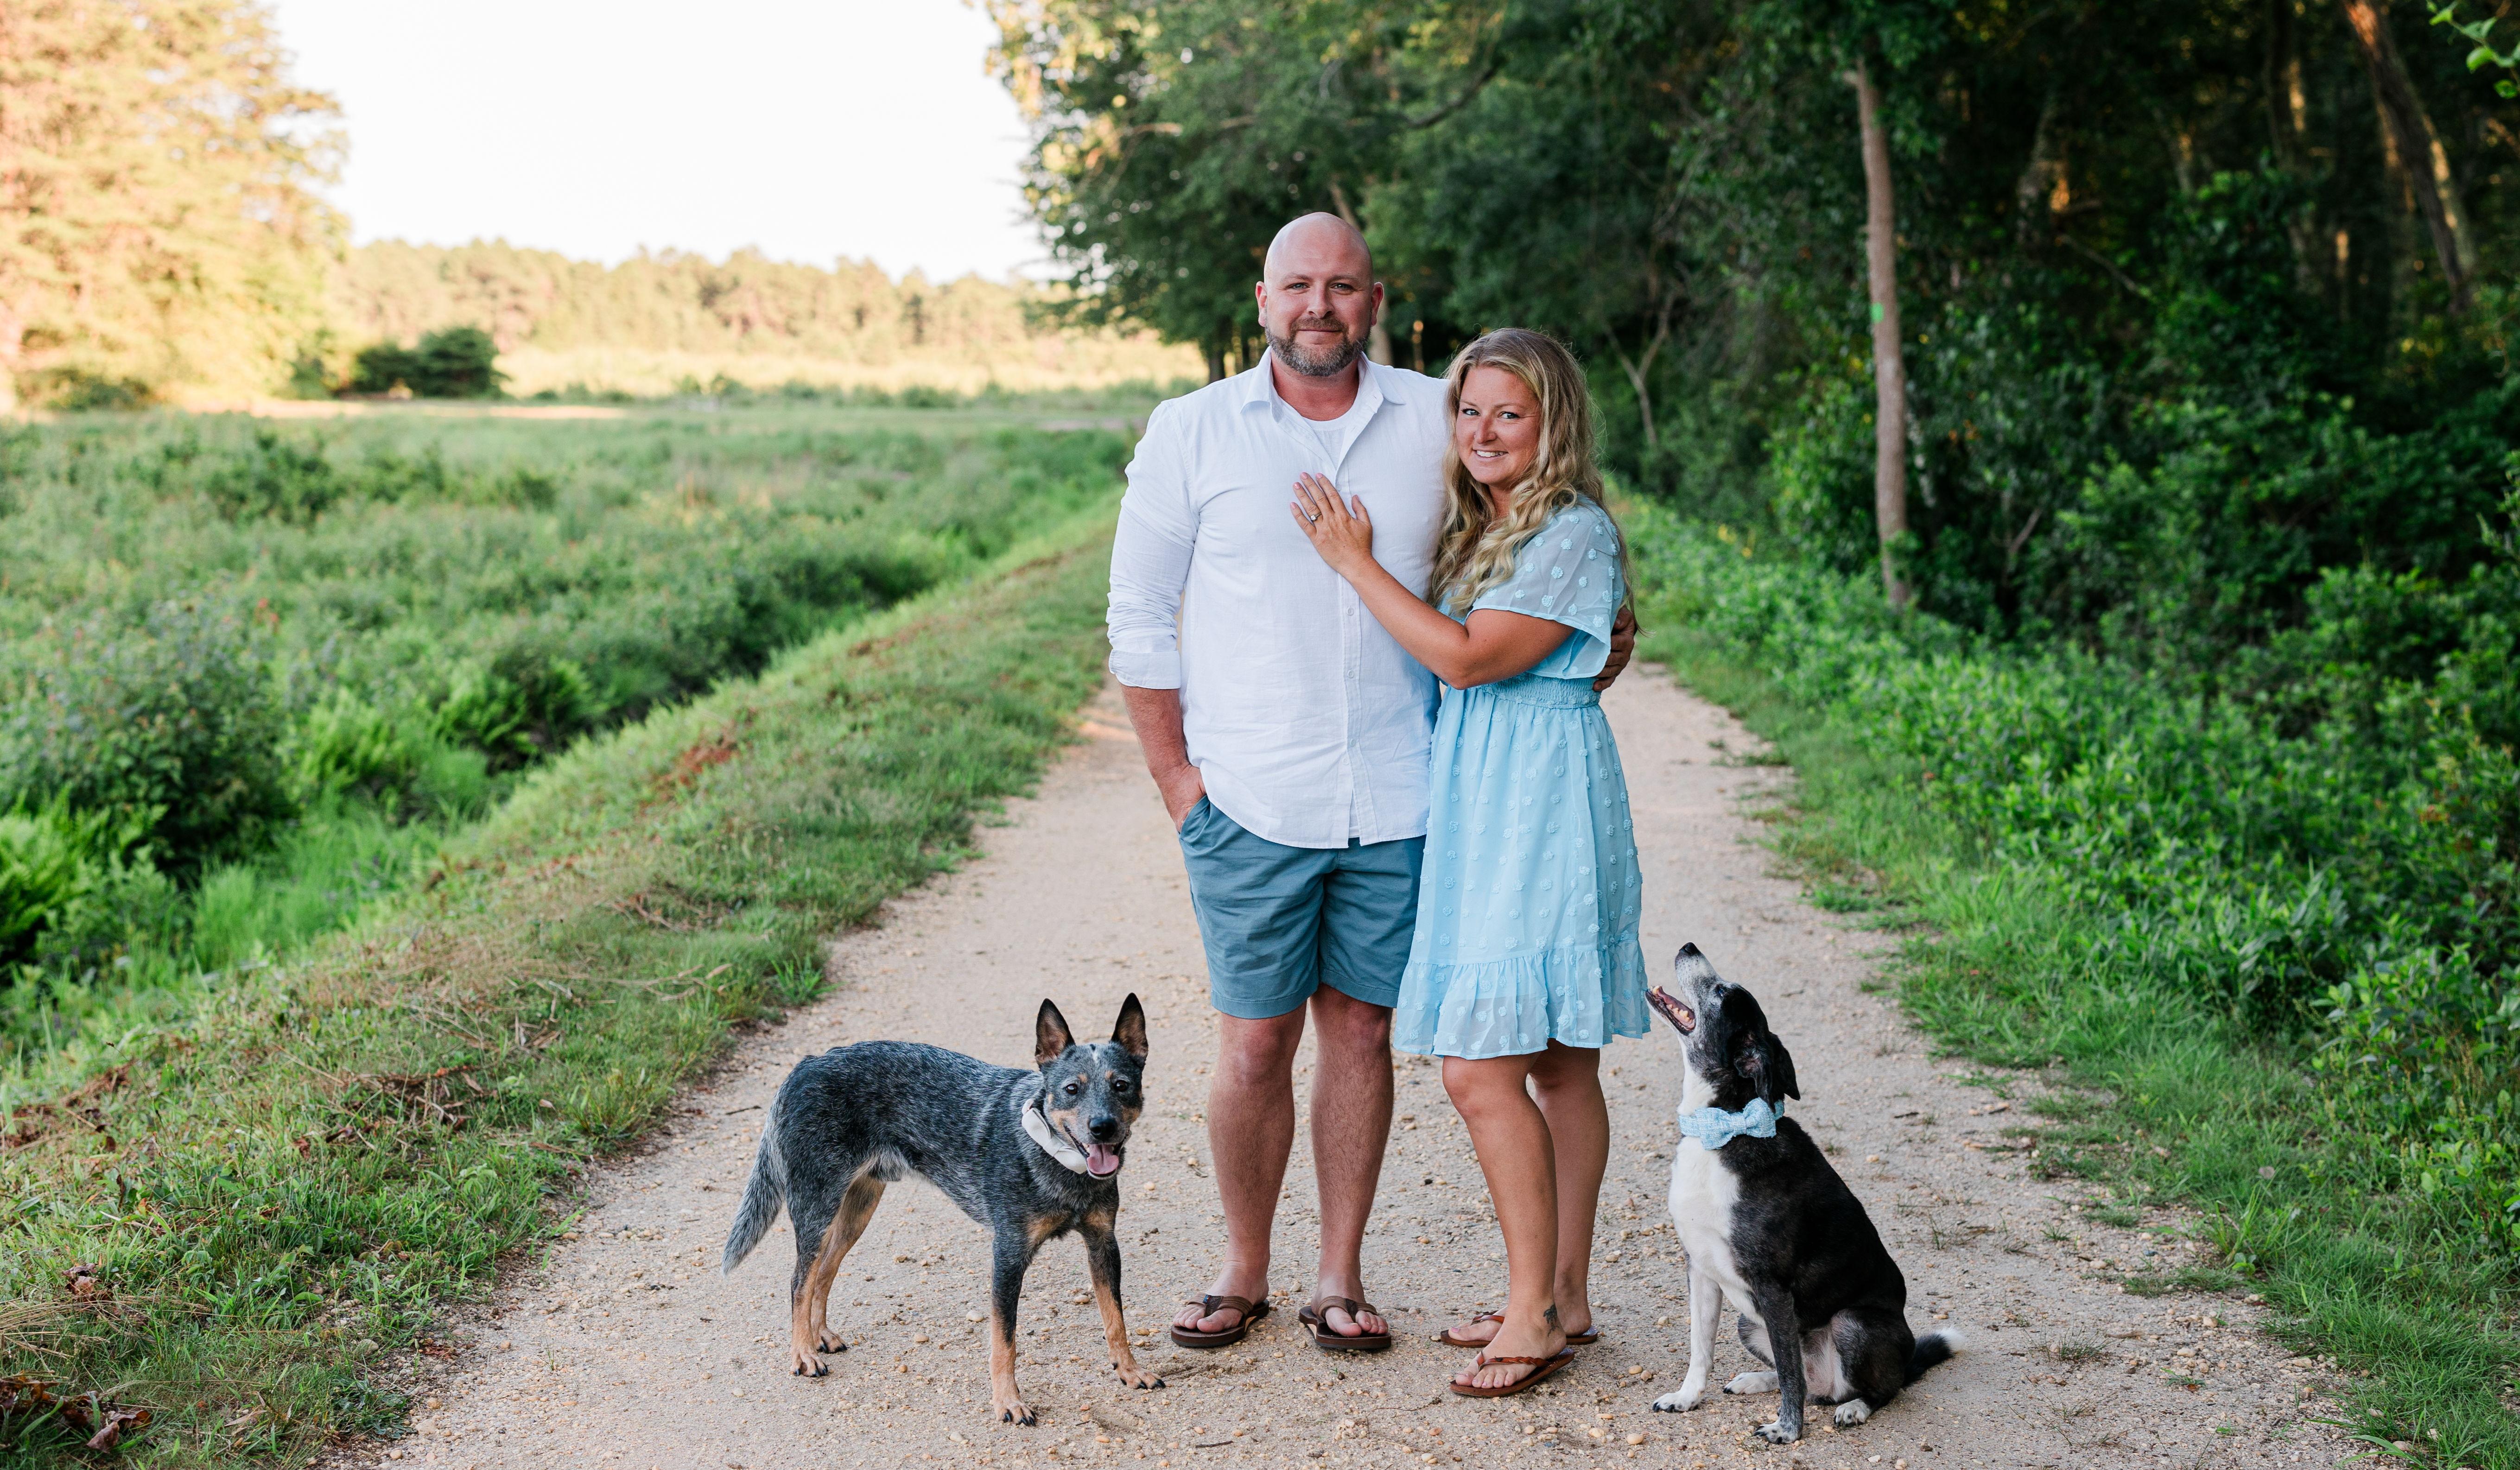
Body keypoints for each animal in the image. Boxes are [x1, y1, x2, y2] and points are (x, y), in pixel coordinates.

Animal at [719, 994, 1163, 1426]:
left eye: (1121, 1085)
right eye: (1072, 1089)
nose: (1102, 1127)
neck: (1055, 1159)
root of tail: (807, 1063)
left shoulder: (1103, 1243)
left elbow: (1116, 1320)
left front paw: (1129, 1371)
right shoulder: (1008, 1255)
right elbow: (1005, 1342)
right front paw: (1008, 1402)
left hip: (856, 1211)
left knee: (824, 1272)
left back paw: (820, 1335)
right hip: (817, 1206)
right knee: (799, 1280)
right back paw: (803, 1354)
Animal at [1644, 944, 1957, 1443]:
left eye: (1721, 993)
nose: (1689, 947)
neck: (1725, 1125)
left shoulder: (1772, 1288)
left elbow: (1791, 1374)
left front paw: (1787, 1431)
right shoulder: (1701, 1269)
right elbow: (1701, 1348)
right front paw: (1687, 1397)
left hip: (1852, 1325)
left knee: (1873, 1388)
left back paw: (1855, 1408)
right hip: (1747, 1321)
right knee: (1803, 1376)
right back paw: (1756, 1380)